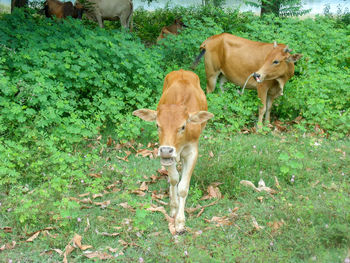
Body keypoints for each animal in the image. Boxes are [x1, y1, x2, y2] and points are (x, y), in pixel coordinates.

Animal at [133, 69, 213, 234]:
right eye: (157, 125)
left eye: (183, 126)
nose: (166, 150)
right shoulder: (166, 154)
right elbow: (175, 179)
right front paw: (174, 208)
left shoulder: (192, 151)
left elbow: (183, 187)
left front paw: (180, 222)